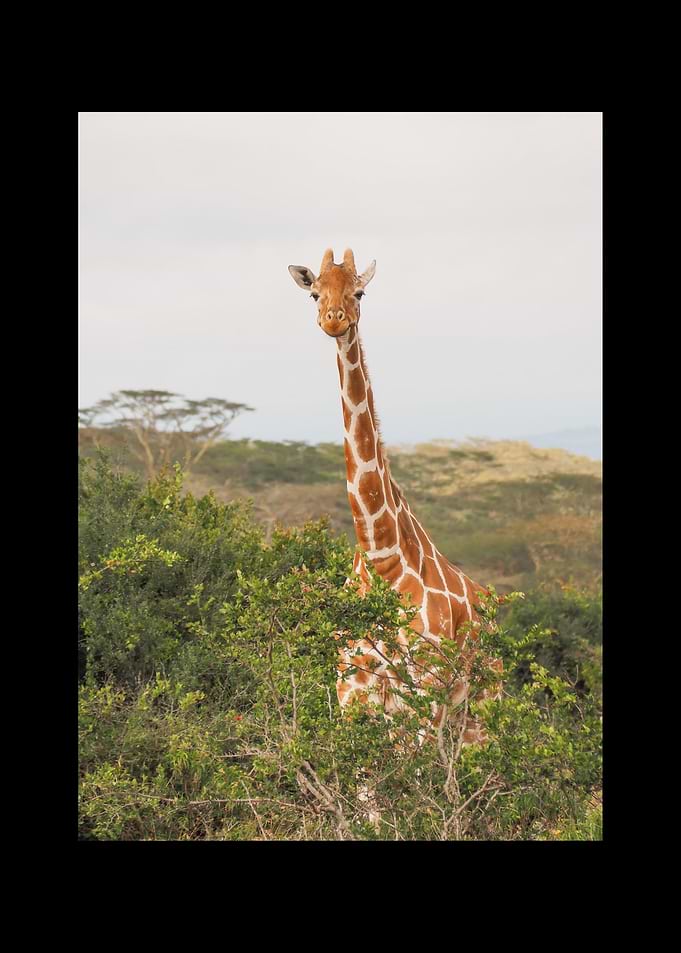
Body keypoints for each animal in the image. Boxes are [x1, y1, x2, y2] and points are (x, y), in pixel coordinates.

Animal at [288, 248, 500, 752]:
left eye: (360, 292)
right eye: (314, 293)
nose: (334, 319)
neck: (382, 556)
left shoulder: (423, 691)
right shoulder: (353, 688)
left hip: (482, 707)